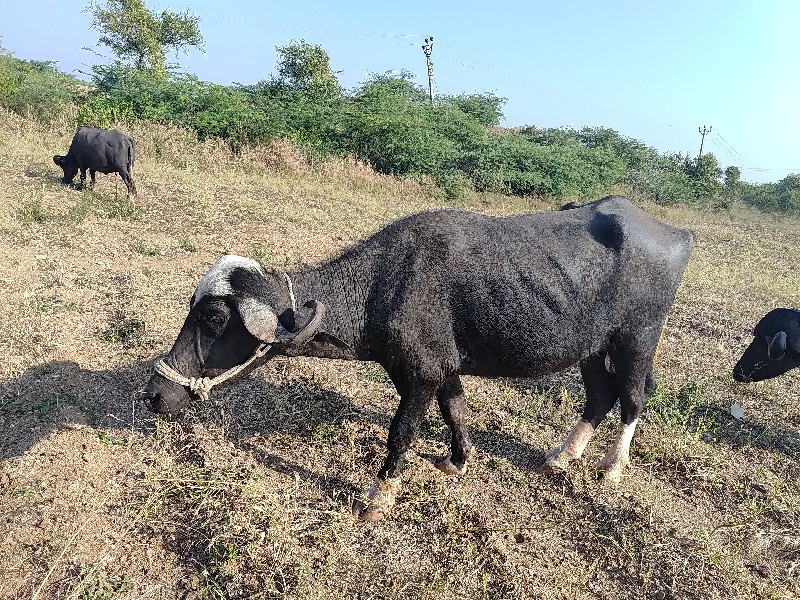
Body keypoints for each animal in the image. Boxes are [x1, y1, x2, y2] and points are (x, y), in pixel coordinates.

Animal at [142, 196, 692, 520]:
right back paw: (563, 455)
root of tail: (677, 233)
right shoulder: (443, 370)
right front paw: (457, 461)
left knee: (632, 397)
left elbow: (401, 431)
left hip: (636, 340)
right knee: (599, 394)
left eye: (215, 319)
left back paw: (611, 467)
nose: (154, 394)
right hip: (592, 348)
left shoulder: (420, 376)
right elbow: (457, 411)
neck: (383, 286)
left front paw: (379, 494)